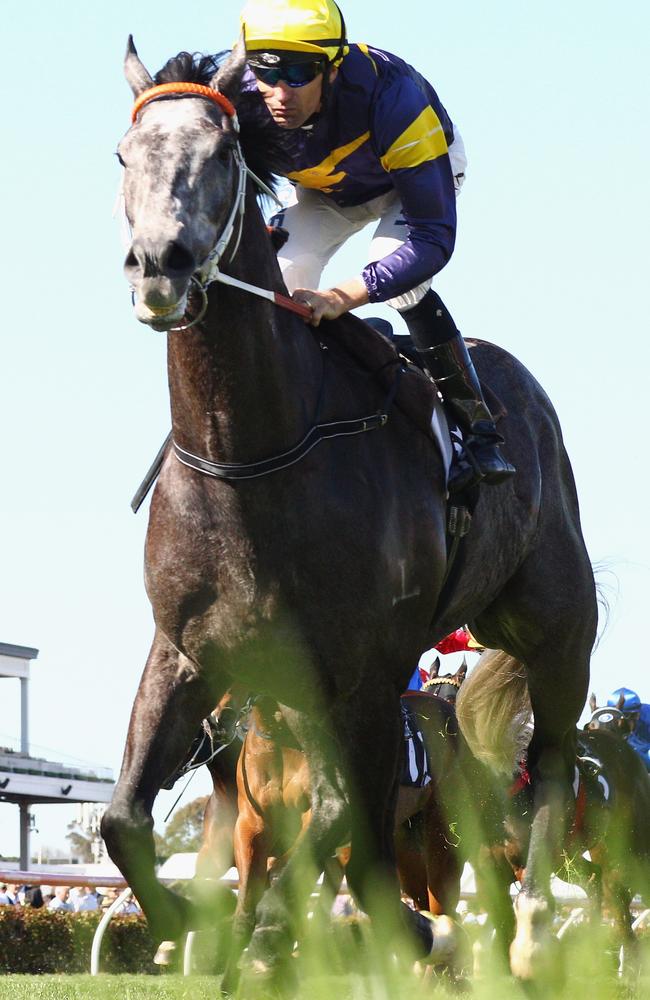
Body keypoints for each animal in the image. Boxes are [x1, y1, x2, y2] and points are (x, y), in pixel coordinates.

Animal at [102, 37, 596, 984]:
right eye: (123, 155)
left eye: (223, 153)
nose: (161, 266)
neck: (250, 456)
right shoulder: (186, 650)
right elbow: (124, 818)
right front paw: (189, 926)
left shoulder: (368, 669)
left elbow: (346, 816)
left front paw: (275, 936)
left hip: (557, 629)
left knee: (549, 765)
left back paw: (530, 933)